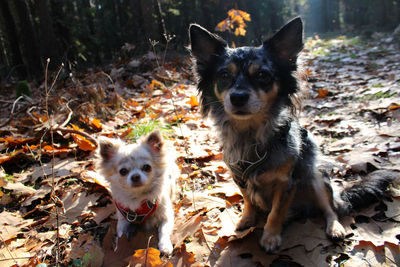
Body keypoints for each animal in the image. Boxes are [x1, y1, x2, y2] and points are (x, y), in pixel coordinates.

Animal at [188, 17, 394, 252]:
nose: (238, 97)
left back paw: (335, 228)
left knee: (330, 209)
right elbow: (248, 199)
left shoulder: (287, 183)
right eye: (224, 75)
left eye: (262, 75)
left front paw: (270, 237)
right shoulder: (240, 177)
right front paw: (246, 219)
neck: (251, 134)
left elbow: (276, 212)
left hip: (316, 177)